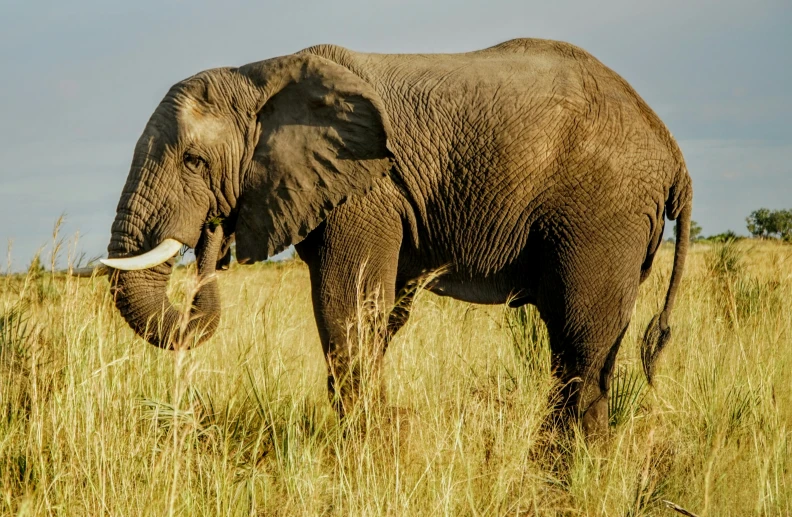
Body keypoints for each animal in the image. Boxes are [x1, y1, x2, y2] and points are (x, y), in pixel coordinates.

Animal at [102, 38, 688, 438]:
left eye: (193, 161)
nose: (211, 238)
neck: (257, 76)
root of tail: (671, 149)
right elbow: (382, 316)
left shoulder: (366, 190)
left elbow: (348, 308)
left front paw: (364, 447)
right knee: (594, 350)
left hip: (601, 214)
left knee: (578, 343)